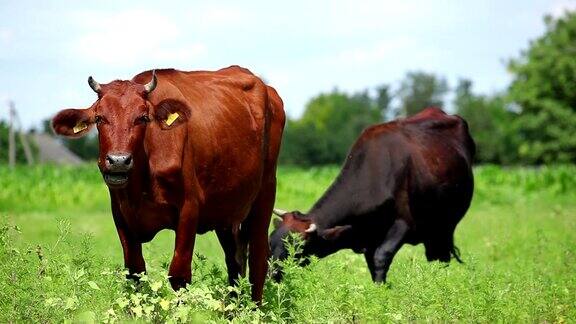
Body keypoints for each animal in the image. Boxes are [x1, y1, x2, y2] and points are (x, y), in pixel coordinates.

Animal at [51, 66, 286, 302]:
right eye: (99, 118)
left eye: (143, 118)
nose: (118, 161)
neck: (141, 185)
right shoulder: (120, 212)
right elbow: (135, 272)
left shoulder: (189, 208)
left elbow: (179, 274)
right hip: (226, 211)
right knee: (235, 261)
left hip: (265, 193)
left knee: (258, 259)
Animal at [268, 108, 472, 284]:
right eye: (270, 242)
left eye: (297, 248)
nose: (269, 275)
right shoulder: (368, 239)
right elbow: (373, 266)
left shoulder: (404, 224)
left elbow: (381, 257)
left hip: (443, 228)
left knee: (441, 258)